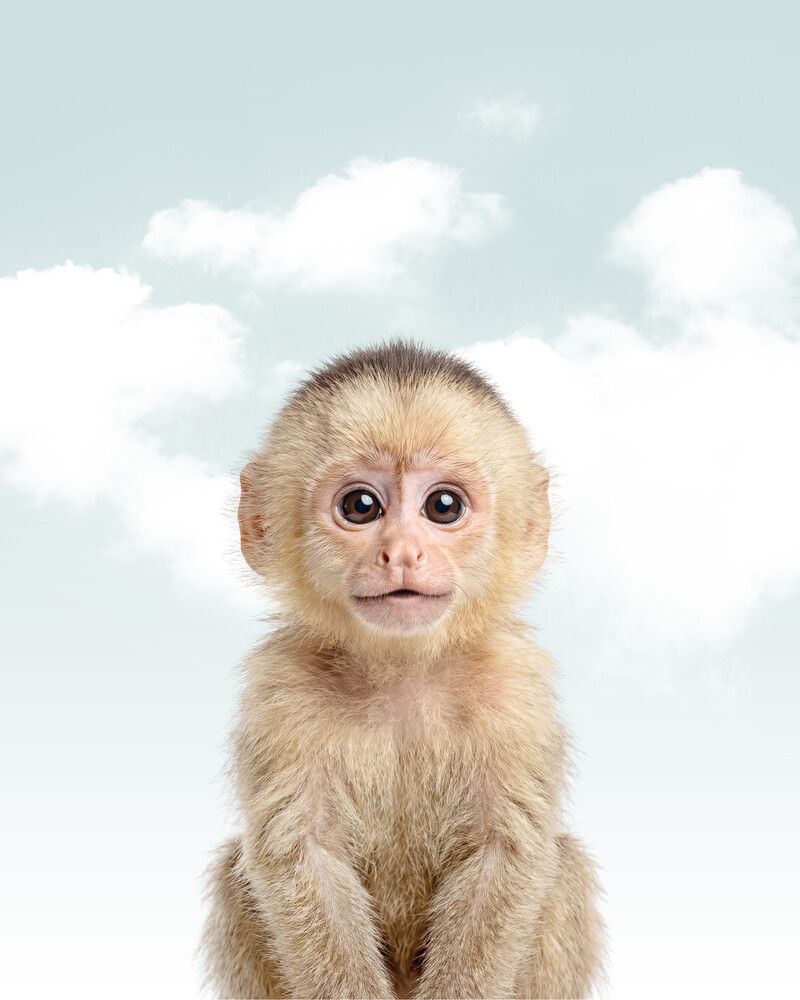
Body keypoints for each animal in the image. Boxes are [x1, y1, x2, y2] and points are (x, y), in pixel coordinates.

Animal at [201, 340, 605, 999]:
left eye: (444, 506)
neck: (403, 675)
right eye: (360, 506)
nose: (402, 553)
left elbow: (507, 854)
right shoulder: (282, 690)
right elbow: (299, 855)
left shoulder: (514, 689)